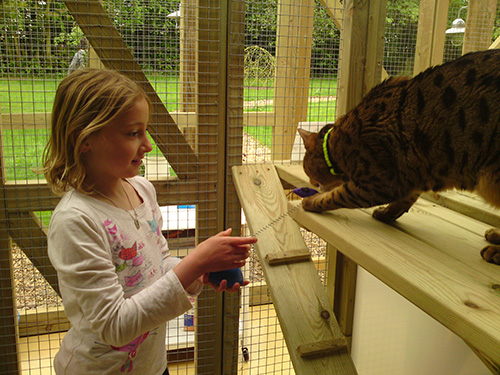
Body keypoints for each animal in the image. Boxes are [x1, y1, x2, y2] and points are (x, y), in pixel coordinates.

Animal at [298, 49, 500, 264]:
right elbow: (405, 199)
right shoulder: (415, 172)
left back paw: (495, 250)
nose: (310, 183)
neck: (337, 143)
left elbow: (337, 195)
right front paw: (387, 213)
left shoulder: (379, 183)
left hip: (492, 178)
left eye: (309, 173)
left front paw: (311, 201)